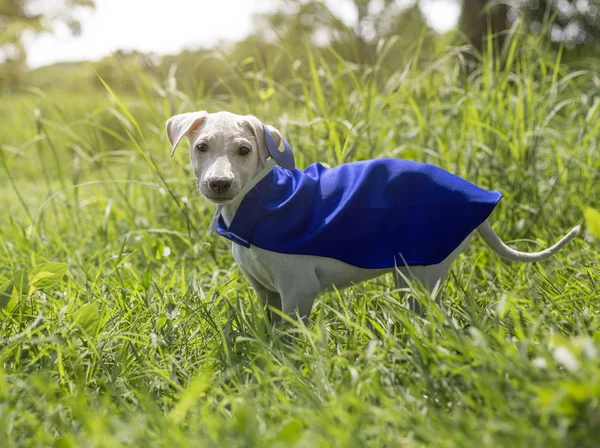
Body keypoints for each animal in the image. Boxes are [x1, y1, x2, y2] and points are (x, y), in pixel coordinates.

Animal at [166, 110, 580, 320]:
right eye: (201, 147)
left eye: (244, 150)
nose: (220, 184)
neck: (260, 202)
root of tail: (480, 202)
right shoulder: (264, 291)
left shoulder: (298, 290)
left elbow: (292, 337)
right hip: (407, 274)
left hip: (423, 274)